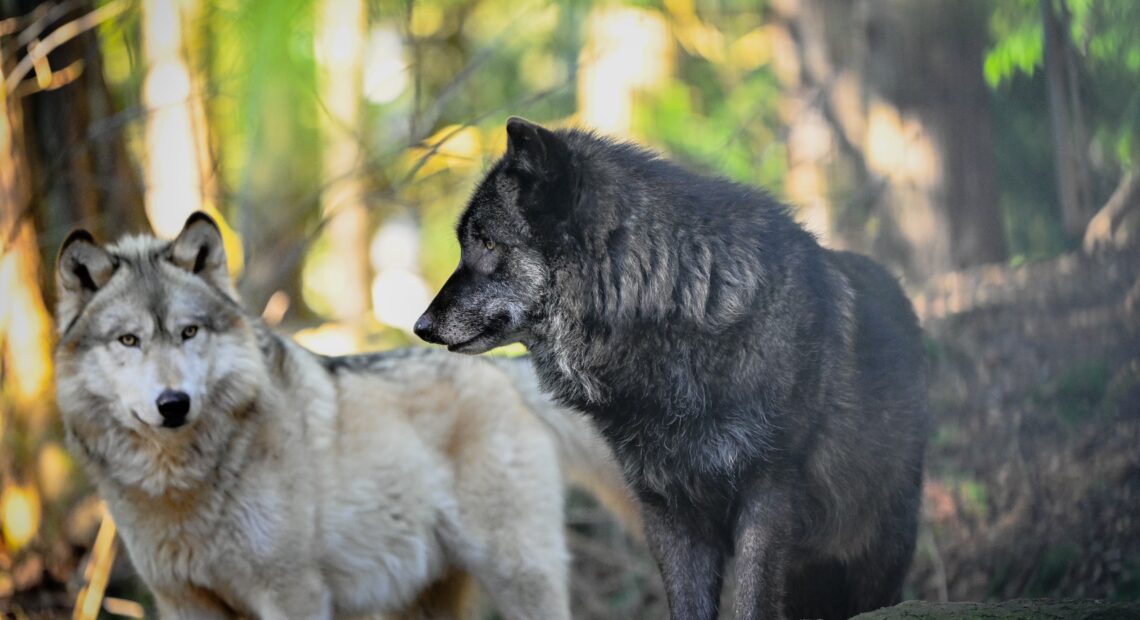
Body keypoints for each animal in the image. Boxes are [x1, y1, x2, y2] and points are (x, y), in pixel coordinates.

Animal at [55, 213, 633, 620]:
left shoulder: (294, 594)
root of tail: (506, 373)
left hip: (517, 573)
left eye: (188, 332)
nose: (173, 402)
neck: (182, 487)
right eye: (128, 340)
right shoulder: (183, 603)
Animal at [414, 118, 930, 615]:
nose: (421, 325)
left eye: (486, 242)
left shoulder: (767, 492)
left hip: (876, 549)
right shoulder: (667, 507)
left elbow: (752, 603)